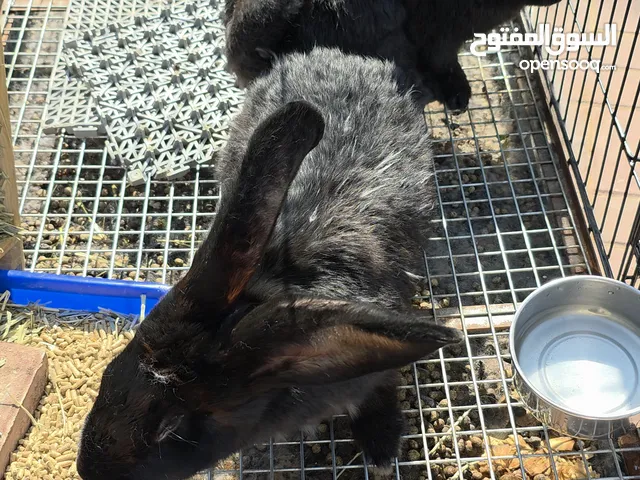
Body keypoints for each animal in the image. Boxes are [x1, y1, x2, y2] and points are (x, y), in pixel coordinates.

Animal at [77, 48, 463, 480]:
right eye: (110, 372)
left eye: (169, 427)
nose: (87, 470)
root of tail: (343, 56)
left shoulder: (374, 373)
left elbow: (379, 393)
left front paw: (381, 448)